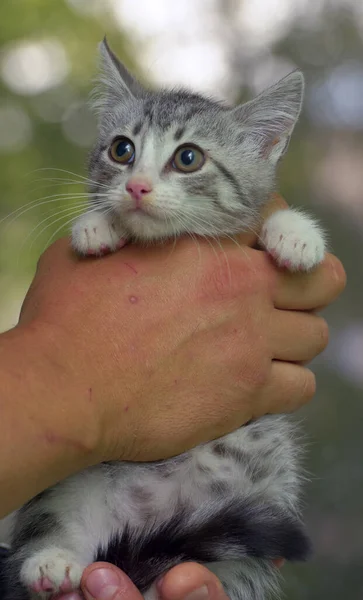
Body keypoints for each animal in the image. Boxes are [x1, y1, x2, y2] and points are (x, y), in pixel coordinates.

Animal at [2, 39, 328, 596]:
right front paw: (97, 226)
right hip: (68, 482)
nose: (136, 187)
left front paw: (296, 235)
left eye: (188, 158)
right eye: (122, 150)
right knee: (51, 518)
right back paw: (51, 561)